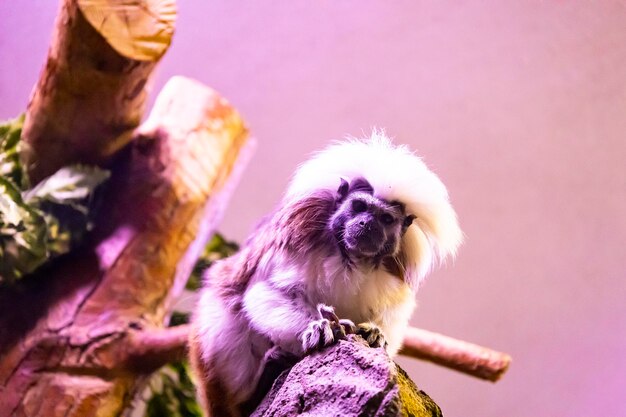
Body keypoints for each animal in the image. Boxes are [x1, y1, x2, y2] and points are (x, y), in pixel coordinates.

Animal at [188, 132, 460, 414]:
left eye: (385, 219)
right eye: (359, 206)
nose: (367, 224)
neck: (351, 257)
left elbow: (391, 316)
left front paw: (375, 333)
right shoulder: (297, 238)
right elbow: (266, 293)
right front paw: (320, 327)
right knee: (223, 308)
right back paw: (260, 385)